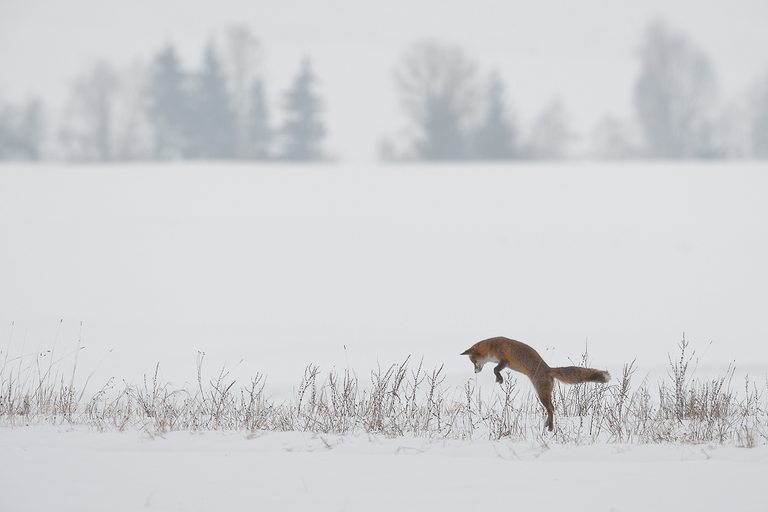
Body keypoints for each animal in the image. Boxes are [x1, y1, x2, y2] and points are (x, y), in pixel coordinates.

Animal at [462, 336, 612, 432]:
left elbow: (495, 369)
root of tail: (549, 369)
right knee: (552, 408)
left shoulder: (505, 360)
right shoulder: (502, 361)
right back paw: (548, 424)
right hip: (545, 394)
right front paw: (499, 378)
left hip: (541, 394)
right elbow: (495, 369)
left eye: (473, 362)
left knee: (550, 409)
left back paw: (550, 427)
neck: (493, 346)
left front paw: (499, 379)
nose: (475, 372)